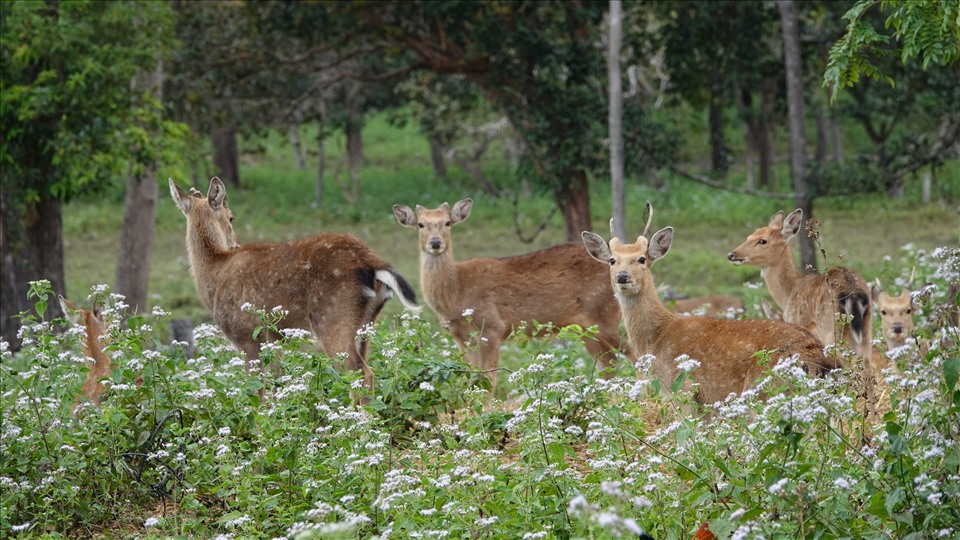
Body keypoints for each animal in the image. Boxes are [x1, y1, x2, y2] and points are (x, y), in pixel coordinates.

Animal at [171, 177, 418, 392]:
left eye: (231, 217)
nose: (236, 242)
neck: (215, 273)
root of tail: (374, 263)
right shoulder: (275, 342)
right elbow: (275, 386)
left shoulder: (247, 337)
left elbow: (257, 393)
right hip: (367, 325)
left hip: (333, 317)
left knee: (360, 374)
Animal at [394, 200, 632, 386]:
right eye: (420, 224)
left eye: (447, 222)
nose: (436, 243)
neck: (455, 291)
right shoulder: (459, 336)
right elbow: (471, 378)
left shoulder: (492, 327)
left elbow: (487, 382)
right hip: (586, 328)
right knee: (610, 365)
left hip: (604, 316)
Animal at [576, 205, 840, 408]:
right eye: (612, 260)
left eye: (642, 259)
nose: (622, 277)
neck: (657, 338)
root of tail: (818, 357)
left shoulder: (683, 390)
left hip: (768, 390)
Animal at [728, 209, 876, 408]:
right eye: (749, 236)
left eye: (762, 240)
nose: (732, 254)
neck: (789, 294)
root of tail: (855, 294)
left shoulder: (797, 324)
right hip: (867, 329)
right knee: (868, 370)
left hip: (831, 330)